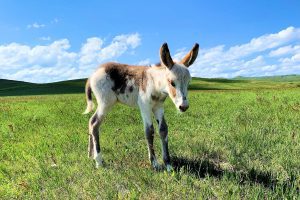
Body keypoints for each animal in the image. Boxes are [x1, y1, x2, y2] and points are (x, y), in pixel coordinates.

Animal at [82, 43, 199, 171]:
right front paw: (154, 164)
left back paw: (90, 155)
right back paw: (99, 161)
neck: (154, 83)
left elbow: (163, 130)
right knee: (94, 123)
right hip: (105, 103)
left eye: (189, 82)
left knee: (91, 122)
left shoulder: (158, 107)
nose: (183, 106)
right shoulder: (145, 106)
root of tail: (93, 74)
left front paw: (168, 164)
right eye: (172, 82)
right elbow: (149, 131)